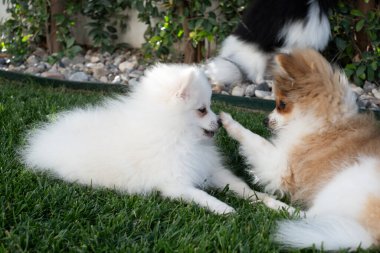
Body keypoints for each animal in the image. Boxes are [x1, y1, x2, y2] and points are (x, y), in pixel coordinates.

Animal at [20, 64, 282, 214]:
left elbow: (244, 188)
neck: (176, 134)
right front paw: (226, 209)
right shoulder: (175, 183)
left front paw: (276, 205)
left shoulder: (211, 170)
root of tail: (46, 136)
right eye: (202, 109)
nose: (218, 122)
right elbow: (202, 195)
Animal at [220, 48, 380, 250]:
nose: (264, 121)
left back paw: (268, 203)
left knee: (305, 215)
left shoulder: (284, 168)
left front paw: (229, 122)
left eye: (281, 104)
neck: (328, 121)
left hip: (344, 181)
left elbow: (256, 140)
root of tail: (372, 236)